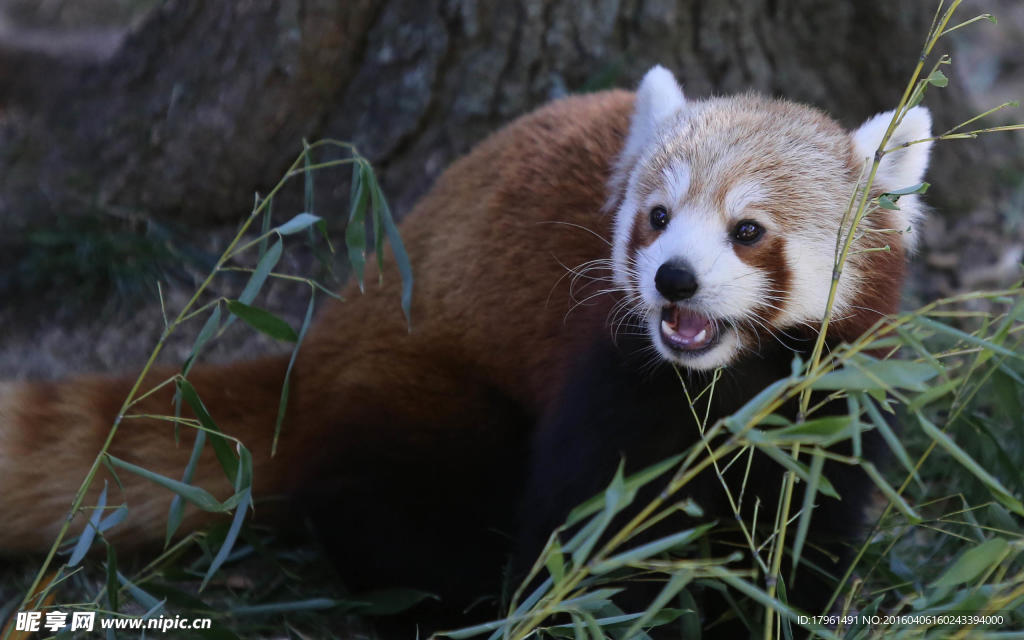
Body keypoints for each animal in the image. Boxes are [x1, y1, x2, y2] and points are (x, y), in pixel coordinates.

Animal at [0, 66, 929, 634]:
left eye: (747, 231)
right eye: (658, 217)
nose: (673, 279)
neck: (726, 383)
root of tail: (315, 354)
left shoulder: (832, 395)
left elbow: (806, 530)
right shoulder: (607, 378)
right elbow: (578, 530)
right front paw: (581, 606)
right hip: (429, 392)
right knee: (389, 506)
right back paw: (459, 596)